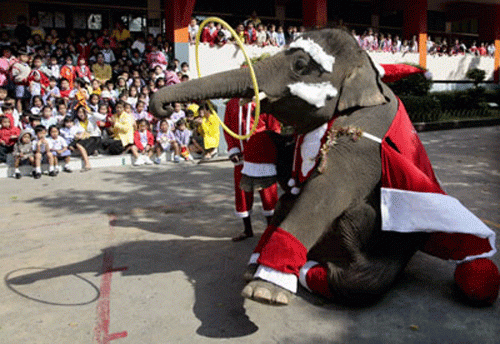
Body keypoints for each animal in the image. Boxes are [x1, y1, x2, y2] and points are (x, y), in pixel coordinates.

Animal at [150, 28, 498, 306]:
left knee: (356, 277)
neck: (367, 69)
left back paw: (306, 270)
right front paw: (253, 177)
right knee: (288, 199)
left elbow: (326, 189)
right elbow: (286, 157)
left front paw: (264, 292)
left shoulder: (365, 134)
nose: (163, 107)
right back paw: (261, 263)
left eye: (301, 65)